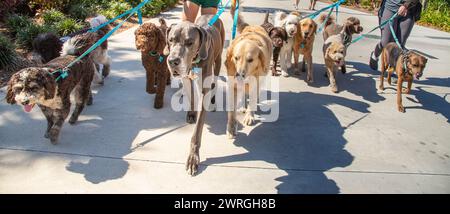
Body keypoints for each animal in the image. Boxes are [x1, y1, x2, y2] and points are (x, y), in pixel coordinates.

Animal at [225, 0, 270, 139]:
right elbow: (231, 111)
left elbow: (253, 100)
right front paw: (231, 127)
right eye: (236, 58)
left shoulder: (256, 83)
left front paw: (250, 116)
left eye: (250, 60)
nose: (239, 75)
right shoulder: (232, 86)